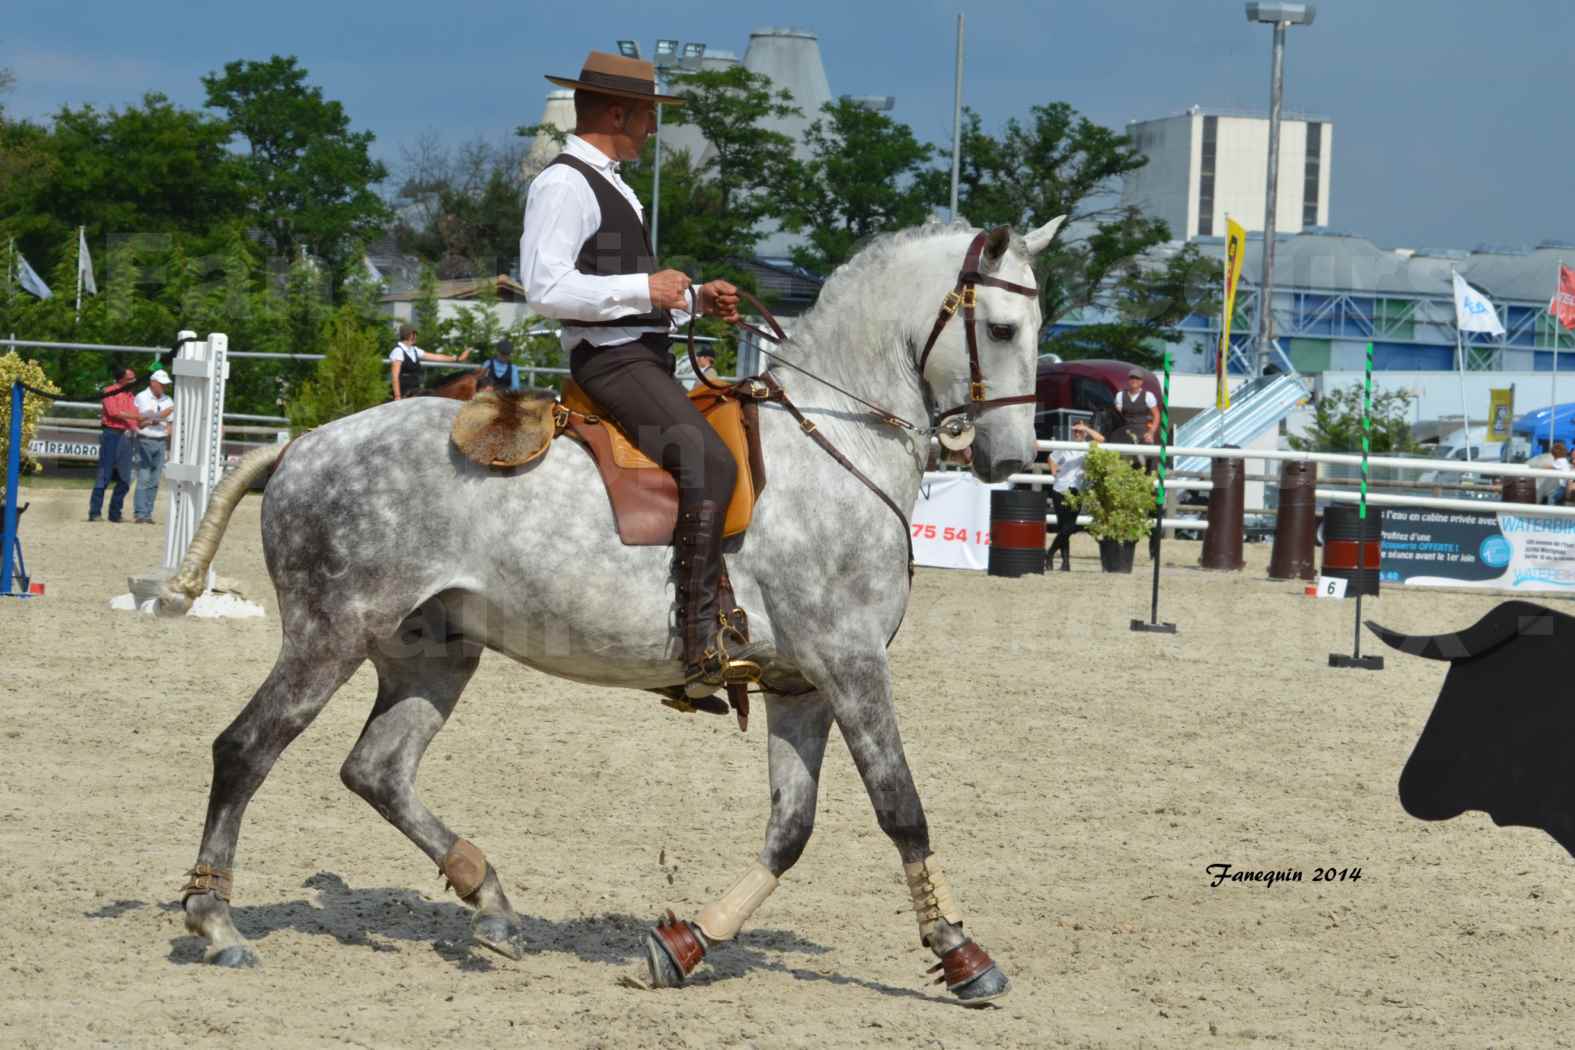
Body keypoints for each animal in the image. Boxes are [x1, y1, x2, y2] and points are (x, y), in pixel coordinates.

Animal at [163, 210, 1071, 1001]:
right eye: (1000, 330)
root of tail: (302, 445)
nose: (1009, 460)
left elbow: (791, 829)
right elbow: (900, 808)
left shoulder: (801, 685)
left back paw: (491, 903)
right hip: (329, 636)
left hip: (434, 652)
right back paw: (216, 924)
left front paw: (684, 945)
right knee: (244, 750)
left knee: (377, 769)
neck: (835, 442)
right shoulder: (850, 664)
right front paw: (961, 956)